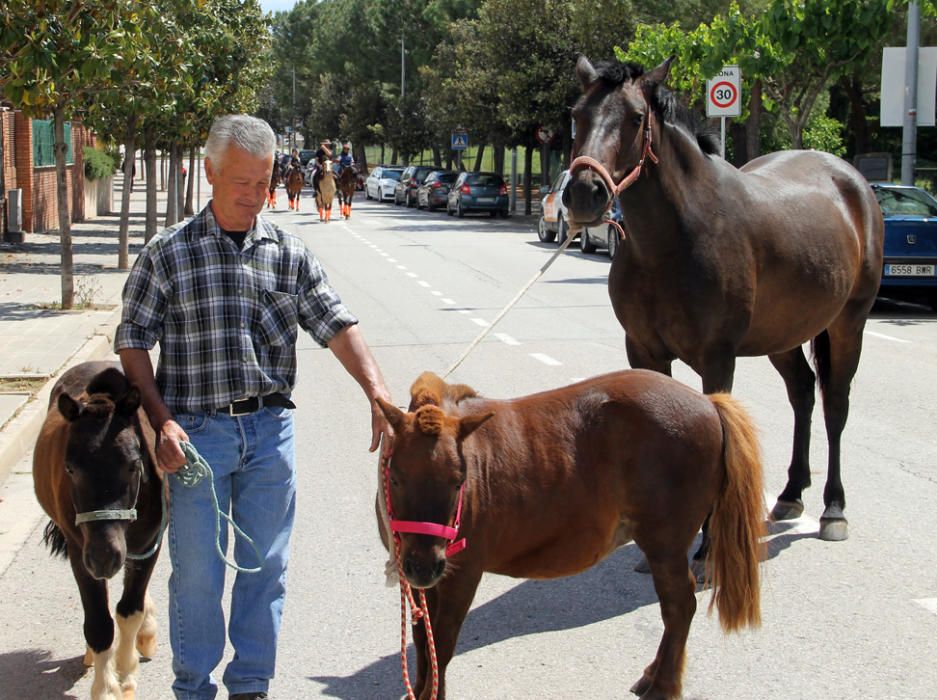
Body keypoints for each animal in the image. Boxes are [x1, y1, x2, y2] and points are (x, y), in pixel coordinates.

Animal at [33, 364, 163, 696]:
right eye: (70, 468)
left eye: (133, 464)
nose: (105, 557)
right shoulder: (81, 551)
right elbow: (99, 623)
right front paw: (106, 688)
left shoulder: (149, 543)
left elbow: (130, 610)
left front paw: (126, 677)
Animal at [376, 370, 764, 696]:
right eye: (395, 477)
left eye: (459, 482)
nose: (423, 565)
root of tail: (708, 403)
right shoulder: (423, 577)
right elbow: (422, 640)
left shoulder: (462, 573)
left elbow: (441, 644)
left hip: (664, 544)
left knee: (679, 606)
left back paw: (662, 685)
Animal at [564, 57, 884, 544]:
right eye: (577, 115)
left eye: (636, 118)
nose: (584, 193)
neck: (673, 241)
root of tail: (854, 183)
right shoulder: (643, 351)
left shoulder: (717, 358)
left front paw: (708, 544)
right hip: (783, 335)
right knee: (803, 393)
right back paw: (791, 493)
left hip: (849, 324)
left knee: (835, 403)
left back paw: (833, 508)